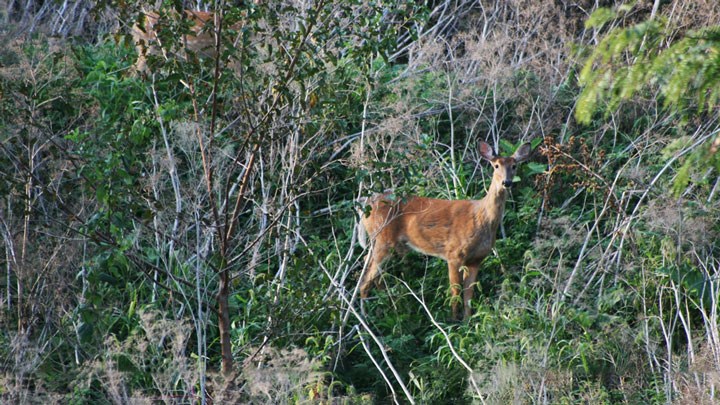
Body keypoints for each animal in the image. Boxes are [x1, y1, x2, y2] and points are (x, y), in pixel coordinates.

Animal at [358, 140, 532, 320]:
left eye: (514, 165)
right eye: (496, 165)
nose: (507, 182)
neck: (482, 218)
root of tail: (366, 205)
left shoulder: (476, 259)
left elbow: (468, 295)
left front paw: (467, 320)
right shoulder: (454, 254)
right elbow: (455, 292)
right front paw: (453, 321)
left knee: (373, 270)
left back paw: (387, 306)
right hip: (383, 237)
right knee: (365, 279)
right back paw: (367, 316)